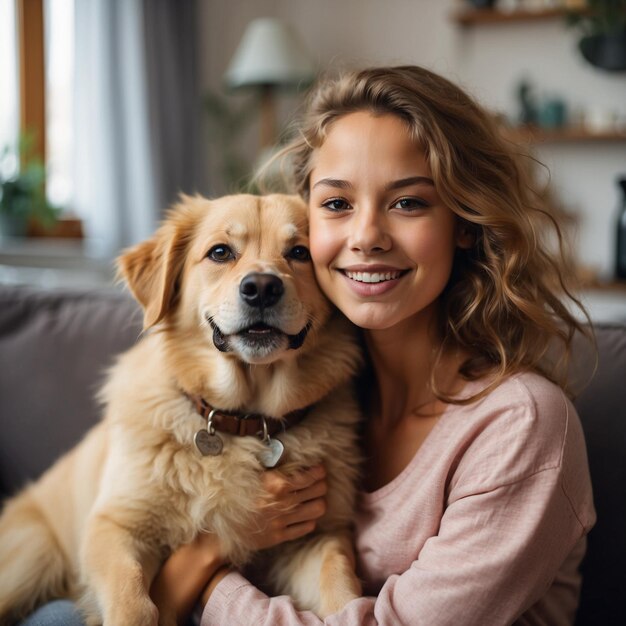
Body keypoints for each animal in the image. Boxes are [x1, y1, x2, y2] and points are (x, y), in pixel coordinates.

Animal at [0, 195, 360, 624]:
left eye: (301, 253)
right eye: (220, 252)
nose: (261, 288)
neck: (243, 420)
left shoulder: (317, 537)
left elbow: (341, 585)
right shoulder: (114, 526)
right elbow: (134, 603)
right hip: (31, 558)